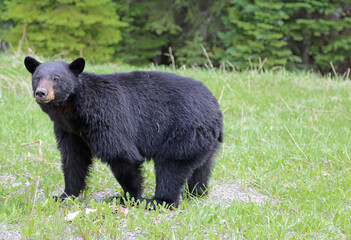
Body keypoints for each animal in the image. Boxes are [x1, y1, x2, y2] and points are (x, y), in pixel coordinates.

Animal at [24, 56, 223, 208]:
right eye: (37, 77)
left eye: (56, 79)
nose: (41, 93)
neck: (72, 110)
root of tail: (215, 108)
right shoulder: (69, 130)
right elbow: (73, 158)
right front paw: (65, 195)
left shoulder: (106, 115)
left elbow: (121, 154)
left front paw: (127, 197)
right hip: (203, 139)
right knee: (202, 167)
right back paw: (197, 193)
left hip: (184, 130)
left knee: (172, 165)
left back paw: (158, 201)